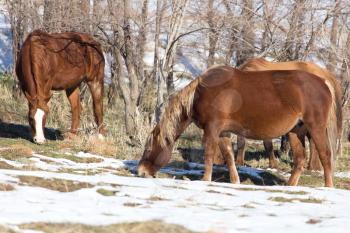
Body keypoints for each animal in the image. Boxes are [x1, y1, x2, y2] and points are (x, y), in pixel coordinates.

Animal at [139, 65, 336, 187]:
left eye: (148, 149)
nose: (141, 171)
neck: (200, 93)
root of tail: (324, 84)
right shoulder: (223, 133)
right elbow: (228, 156)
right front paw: (235, 181)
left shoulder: (212, 129)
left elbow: (209, 154)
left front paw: (205, 179)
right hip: (295, 131)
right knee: (300, 159)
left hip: (315, 127)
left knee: (325, 155)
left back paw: (328, 187)